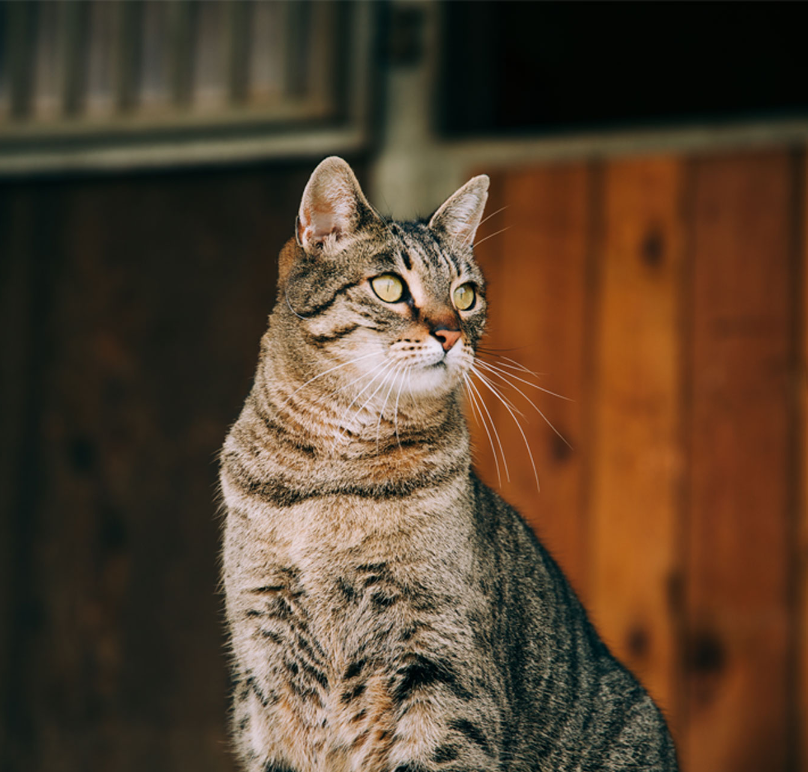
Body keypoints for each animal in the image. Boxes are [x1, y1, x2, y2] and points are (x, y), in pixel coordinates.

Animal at [218, 158, 680, 772]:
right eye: (389, 287)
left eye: (465, 295)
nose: (451, 332)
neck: (331, 475)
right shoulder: (267, 672)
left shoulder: (440, 670)